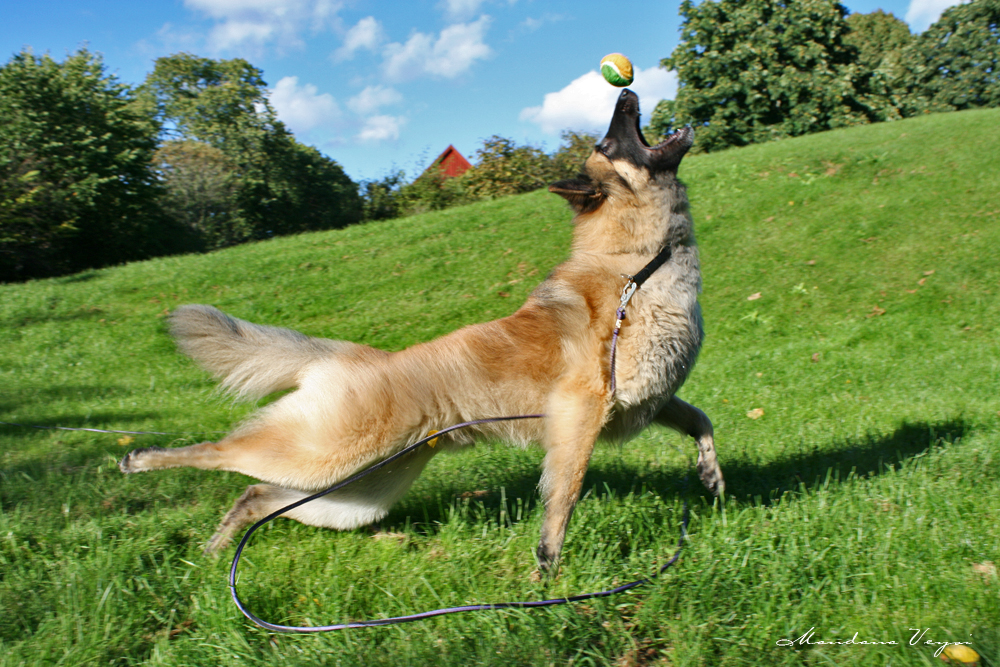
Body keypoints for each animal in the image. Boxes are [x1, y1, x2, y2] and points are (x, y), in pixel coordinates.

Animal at [121, 90, 724, 576]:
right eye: (610, 137)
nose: (624, 91)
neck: (640, 268)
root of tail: (357, 357)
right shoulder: (580, 415)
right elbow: (563, 499)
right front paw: (547, 565)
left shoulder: (649, 399)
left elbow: (701, 421)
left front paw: (711, 476)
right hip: (322, 456)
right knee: (220, 452)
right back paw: (142, 461)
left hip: (357, 492)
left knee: (255, 493)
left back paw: (214, 550)